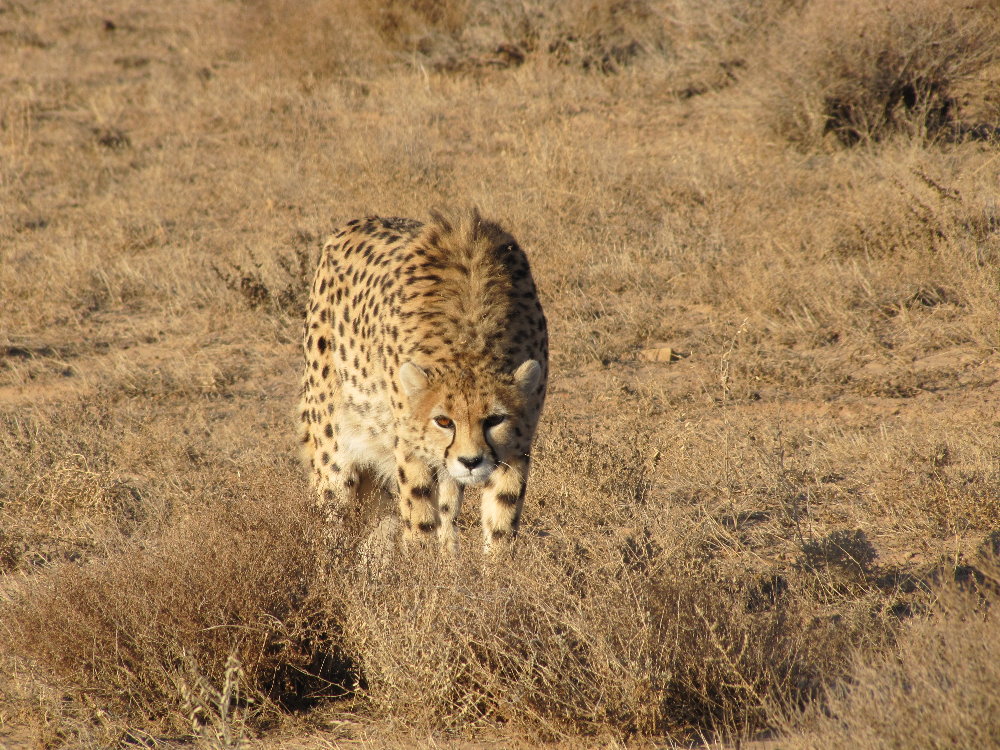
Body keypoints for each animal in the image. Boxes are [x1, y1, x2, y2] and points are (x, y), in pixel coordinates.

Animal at [298, 210, 548, 553]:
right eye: (443, 421)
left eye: (495, 419)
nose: (471, 461)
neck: (470, 341)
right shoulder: (409, 444)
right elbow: (419, 516)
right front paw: (419, 565)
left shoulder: (516, 446)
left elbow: (502, 519)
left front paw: (498, 567)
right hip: (333, 446)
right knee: (332, 508)